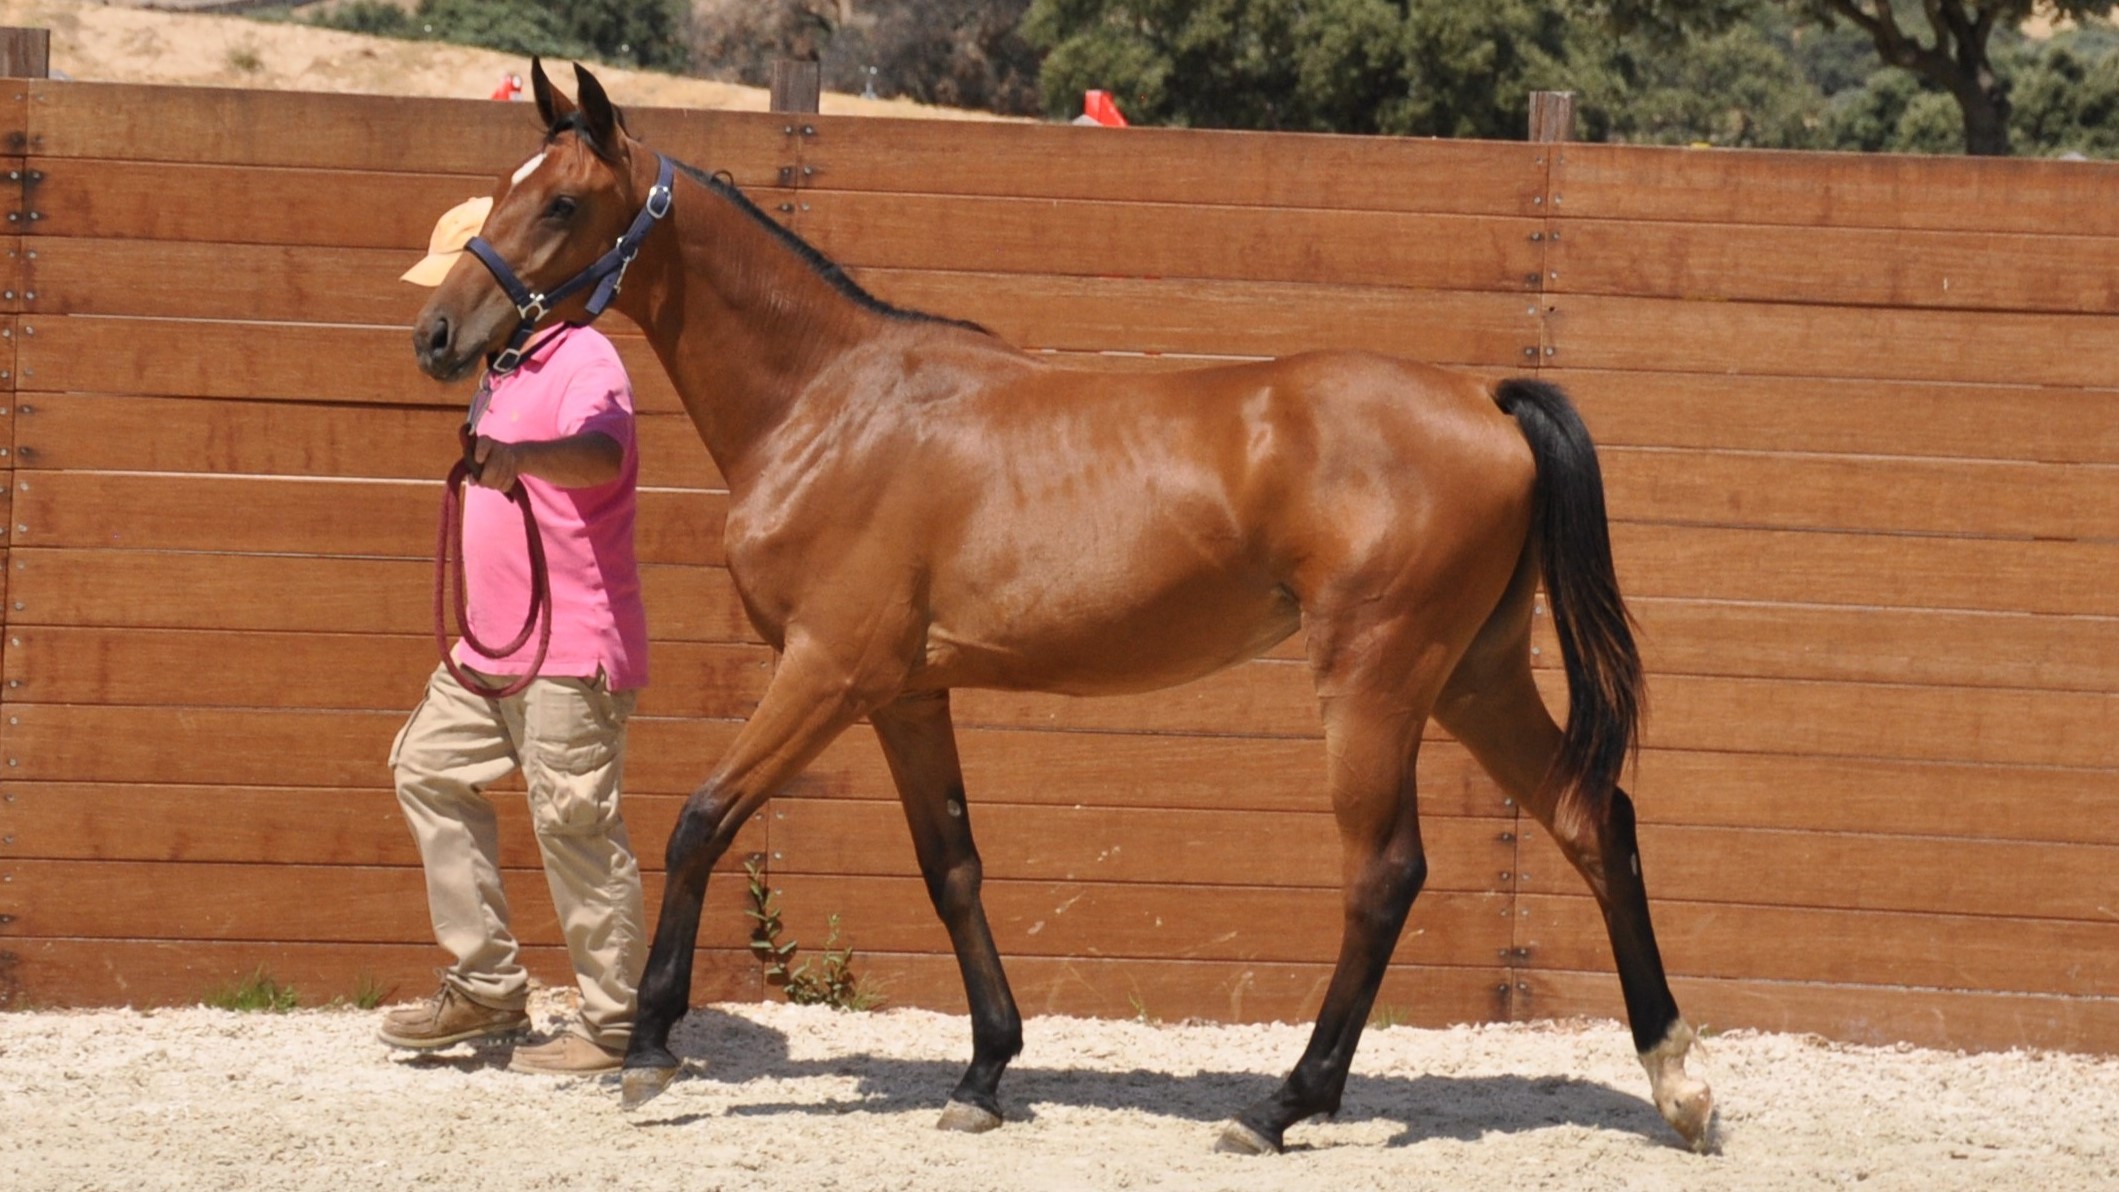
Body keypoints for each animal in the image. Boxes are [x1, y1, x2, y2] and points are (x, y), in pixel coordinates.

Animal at [411, 60, 1715, 1154]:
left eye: (561, 204)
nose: (440, 334)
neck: (831, 404)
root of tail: (1487, 404)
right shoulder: (906, 693)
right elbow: (953, 867)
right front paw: (985, 1072)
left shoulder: (825, 672)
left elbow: (699, 821)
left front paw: (649, 1048)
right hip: (1472, 676)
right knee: (1593, 817)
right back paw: (1678, 1084)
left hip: (1377, 679)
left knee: (1385, 872)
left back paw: (1281, 1104)